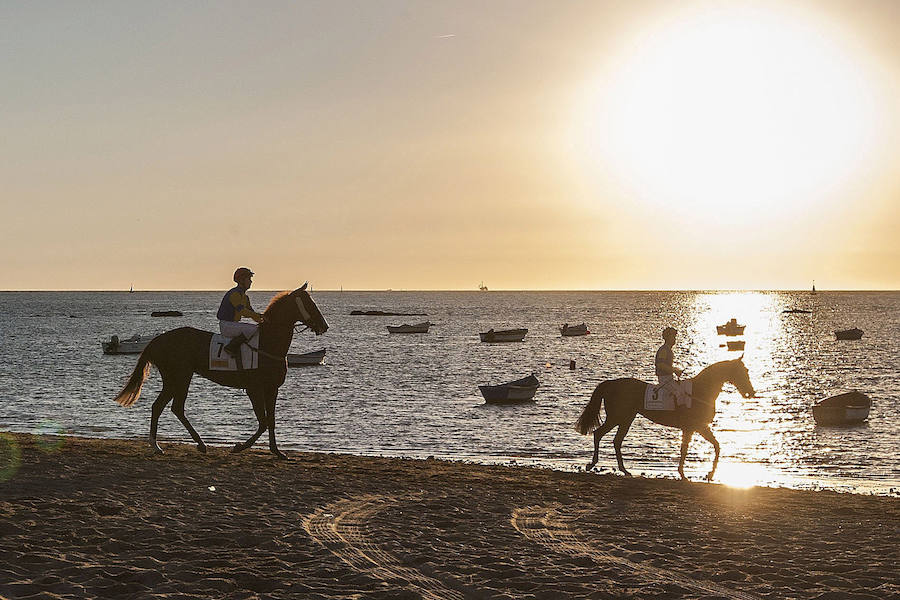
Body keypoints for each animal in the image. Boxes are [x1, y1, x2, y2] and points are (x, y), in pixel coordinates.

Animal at [113, 282, 326, 460]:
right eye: (310, 303)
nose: (325, 326)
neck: (268, 344)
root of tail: (157, 340)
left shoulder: (272, 388)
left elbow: (271, 420)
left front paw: (277, 451)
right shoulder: (254, 388)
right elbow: (263, 422)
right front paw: (239, 446)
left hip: (177, 377)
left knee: (165, 407)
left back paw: (174, 445)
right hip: (179, 376)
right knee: (171, 407)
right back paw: (172, 445)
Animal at [576, 358, 752, 480]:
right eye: (743, 372)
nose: (751, 392)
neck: (701, 390)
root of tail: (610, 383)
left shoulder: (700, 427)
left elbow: (716, 446)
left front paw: (709, 474)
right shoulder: (694, 427)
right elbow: (686, 449)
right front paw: (684, 474)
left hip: (625, 419)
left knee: (615, 440)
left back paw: (623, 470)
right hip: (618, 417)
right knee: (600, 434)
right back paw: (593, 464)